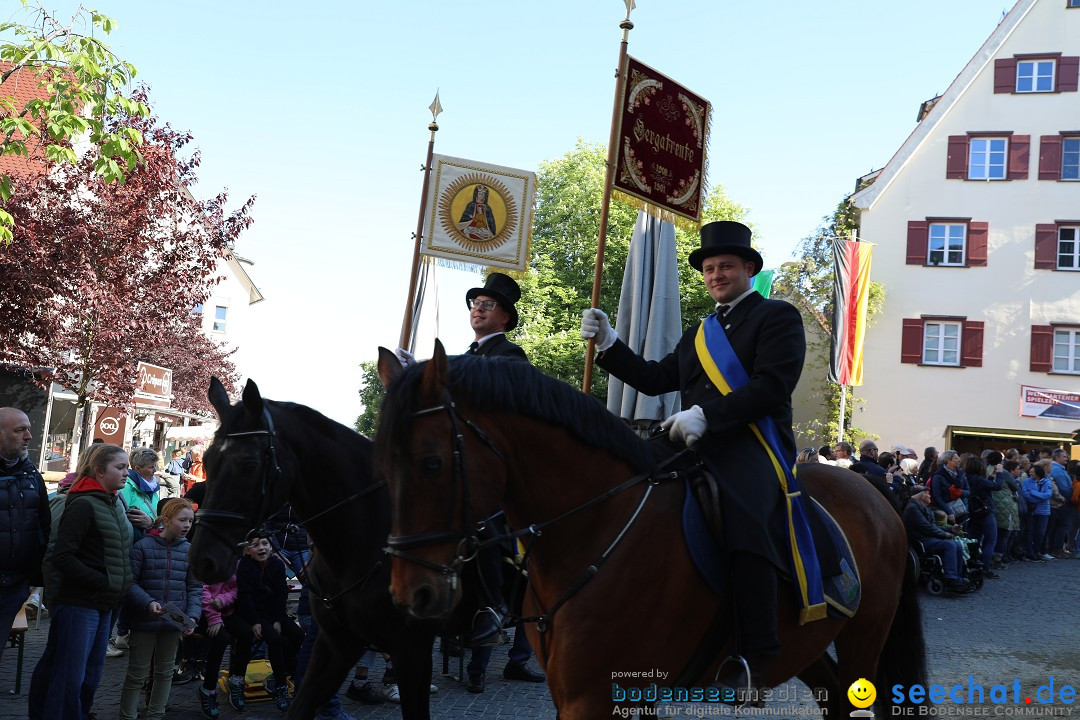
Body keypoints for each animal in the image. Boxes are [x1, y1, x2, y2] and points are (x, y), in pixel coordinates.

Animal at [375, 343, 924, 720]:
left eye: (431, 462)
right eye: (384, 463)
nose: (410, 594)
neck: (595, 529)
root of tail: (881, 500)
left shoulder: (593, 697)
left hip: (863, 638)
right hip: (807, 644)